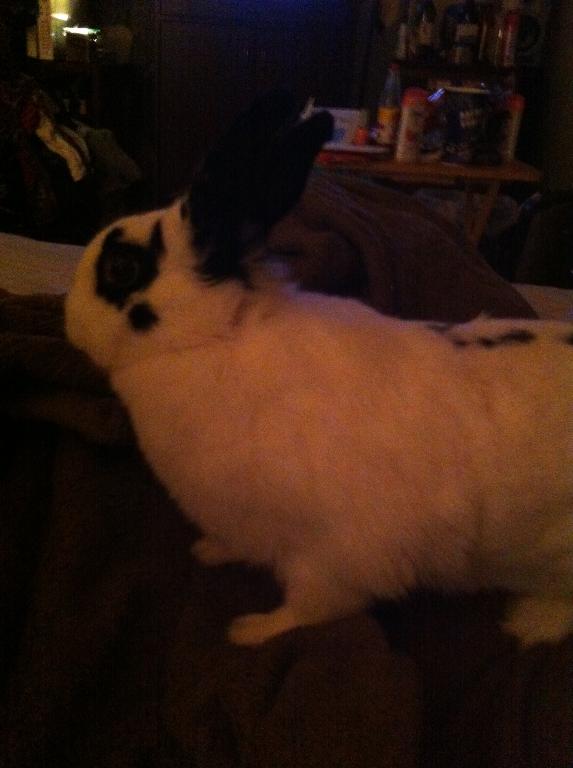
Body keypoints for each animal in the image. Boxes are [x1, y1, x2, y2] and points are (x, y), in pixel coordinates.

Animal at [66, 91, 573, 647]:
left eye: (120, 269)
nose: (69, 321)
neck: (218, 337)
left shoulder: (337, 557)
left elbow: (311, 608)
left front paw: (248, 630)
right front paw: (209, 551)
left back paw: (528, 623)